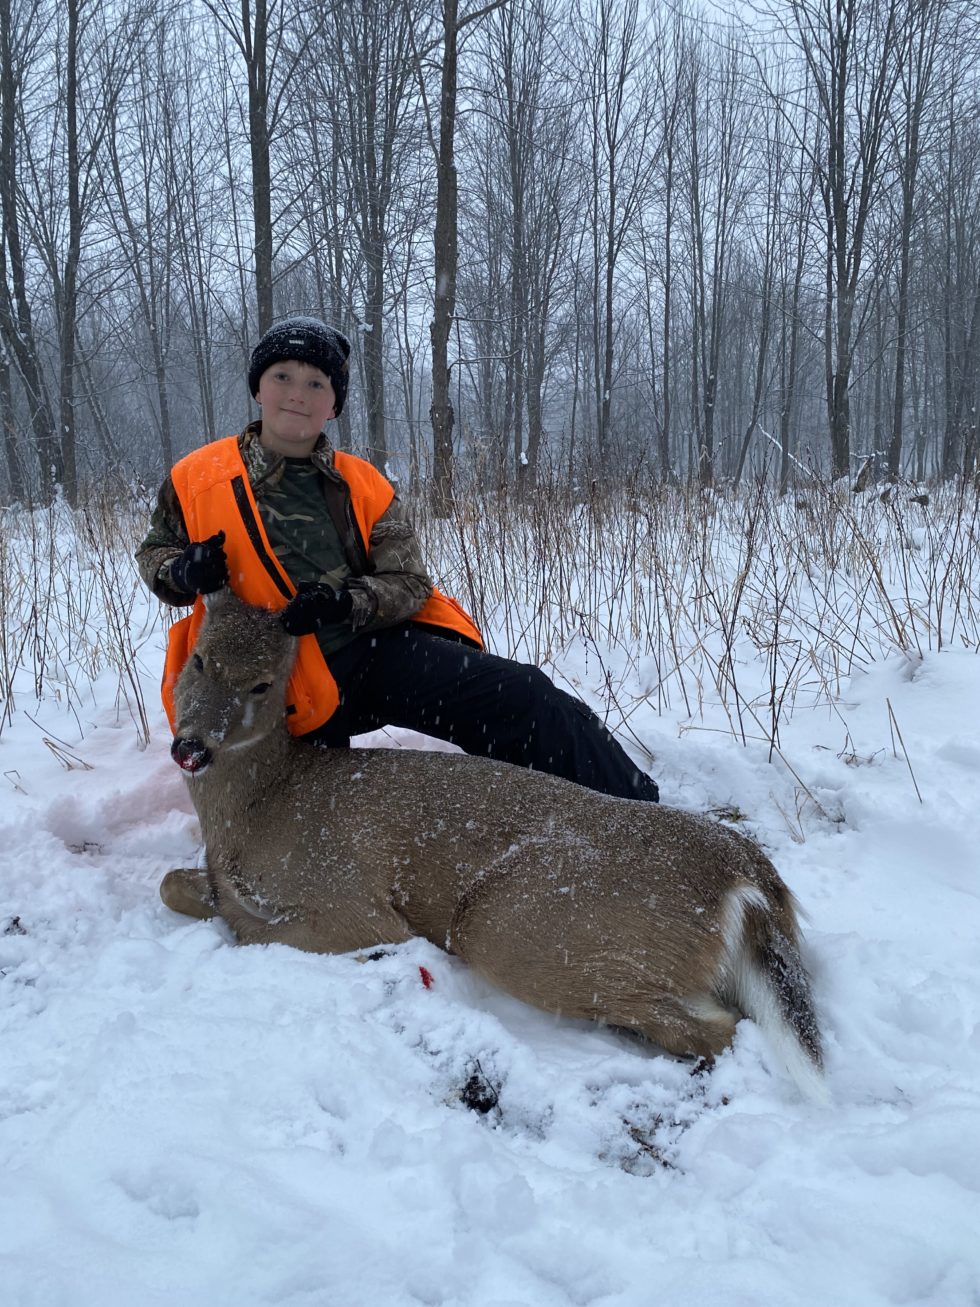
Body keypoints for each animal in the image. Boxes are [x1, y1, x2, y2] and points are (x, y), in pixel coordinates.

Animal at [168, 590, 831, 1092]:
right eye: (198, 659)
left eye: (264, 684)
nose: (191, 745)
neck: (260, 807)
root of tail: (748, 874)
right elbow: (172, 884)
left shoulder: (351, 898)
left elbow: (252, 929)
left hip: (520, 926)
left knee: (720, 1027)